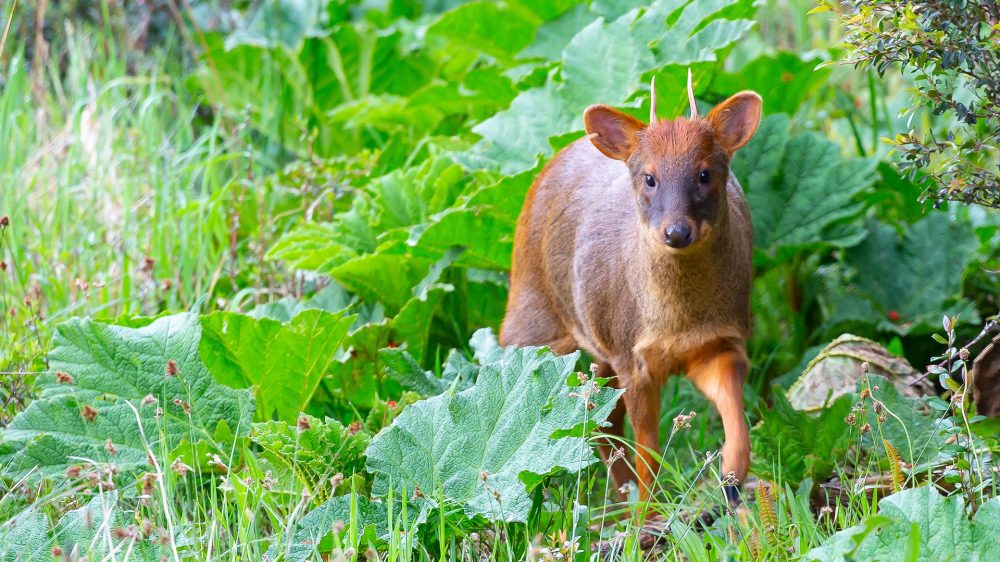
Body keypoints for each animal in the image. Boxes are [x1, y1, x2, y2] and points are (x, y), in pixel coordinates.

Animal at [500, 72, 756, 500]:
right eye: (649, 178)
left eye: (705, 173)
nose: (676, 231)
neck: (675, 321)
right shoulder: (629, 356)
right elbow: (647, 454)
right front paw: (648, 513)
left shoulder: (718, 342)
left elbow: (733, 411)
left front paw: (732, 478)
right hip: (534, 328)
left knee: (601, 423)